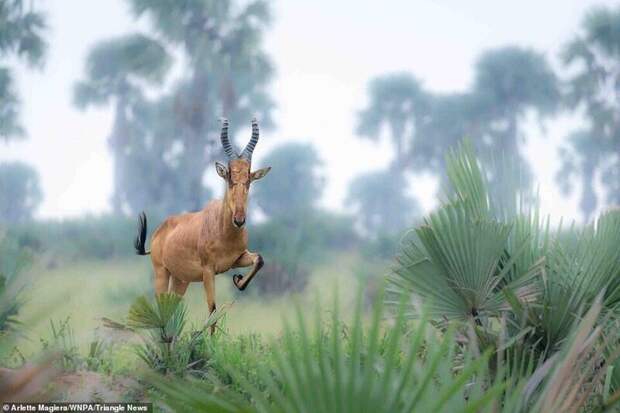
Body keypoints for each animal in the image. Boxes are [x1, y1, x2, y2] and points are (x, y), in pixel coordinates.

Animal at [134, 118, 270, 328]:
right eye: (229, 177)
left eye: (248, 179)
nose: (239, 220)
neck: (223, 229)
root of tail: (159, 231)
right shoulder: (208, 271)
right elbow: (212, 311)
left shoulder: (237, 259)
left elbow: (259, 259)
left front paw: (238, 281)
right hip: (161, 273)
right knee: (161, 310)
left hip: (181, 280)